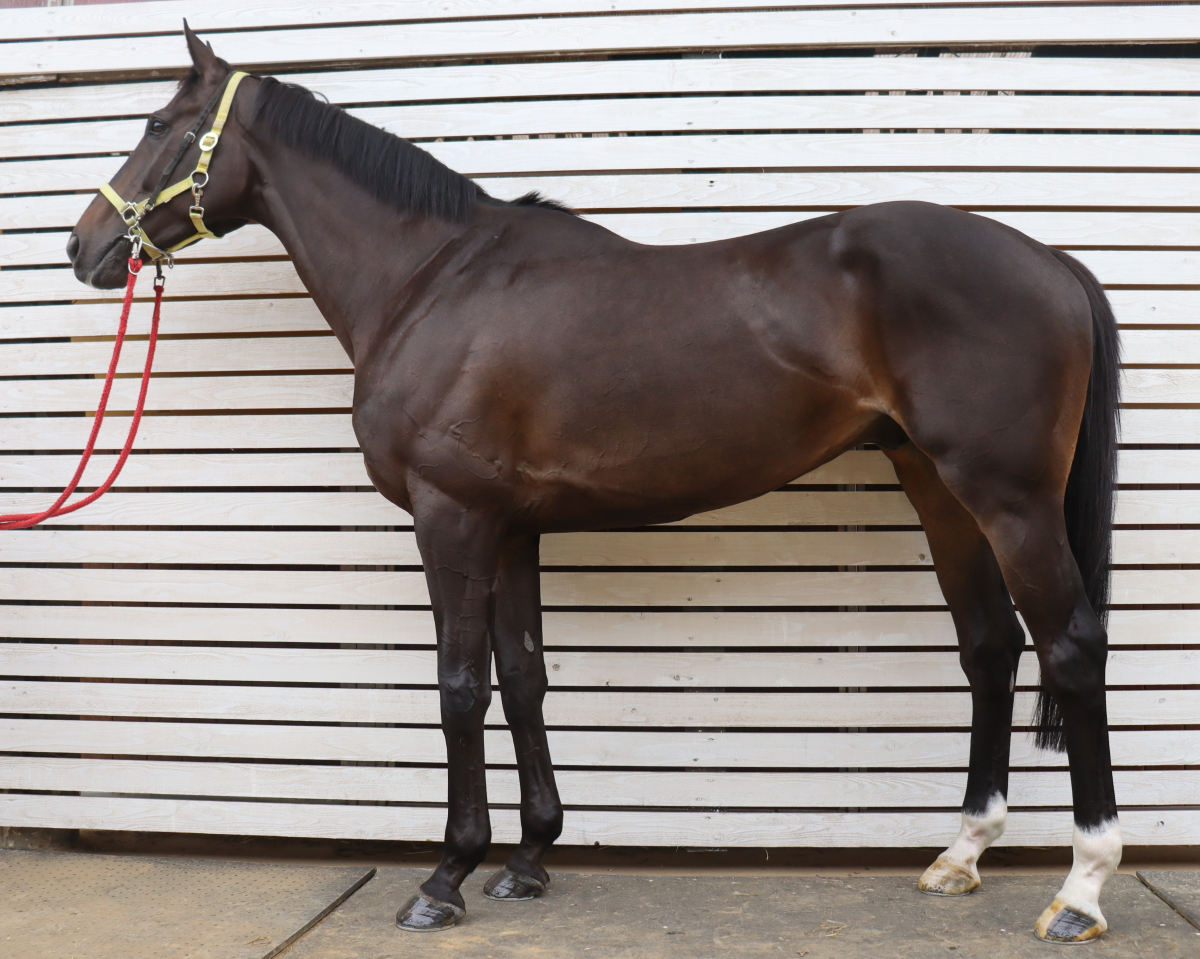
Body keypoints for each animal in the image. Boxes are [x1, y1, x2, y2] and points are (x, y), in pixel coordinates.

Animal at [67, 27, 1122, 943]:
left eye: (156, 124)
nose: (83, 247)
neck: (429, 281)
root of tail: (1050, 260)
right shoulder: (511, 526)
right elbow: (525, 675)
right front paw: (530, 857)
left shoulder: (452, 520)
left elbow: (460, 686)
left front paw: (447, 875)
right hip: (938, 488)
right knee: (989, 647)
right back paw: (960, 854)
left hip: (1010, 498)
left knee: (1069, 647)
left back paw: (1080, 889)